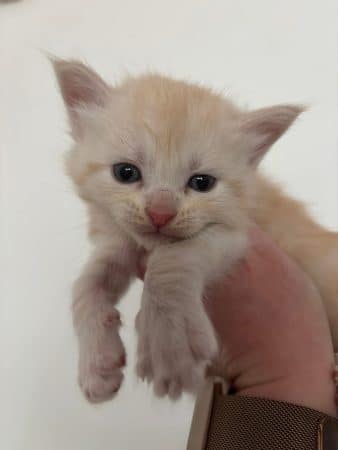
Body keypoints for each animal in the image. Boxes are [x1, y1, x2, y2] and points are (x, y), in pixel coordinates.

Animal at [52, 58, 338, 402]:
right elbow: (86, 283)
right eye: (126, 172)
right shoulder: (122, 239)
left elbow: (172, 262)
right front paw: (97, 363)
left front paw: (169, 344)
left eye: (202, 182)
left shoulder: (238, 231)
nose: (160, 213)